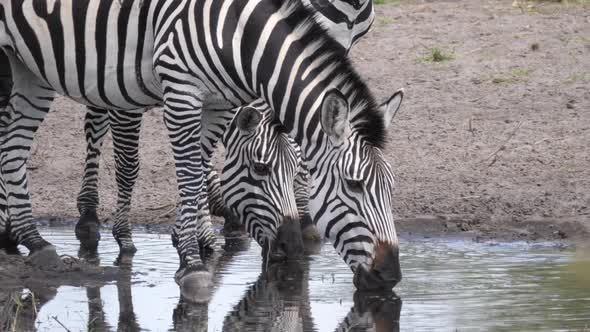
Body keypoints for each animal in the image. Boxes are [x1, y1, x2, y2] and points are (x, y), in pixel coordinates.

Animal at [0, 0, 402, 296]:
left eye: (391, 188)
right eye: (354, 185)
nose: (391, 275)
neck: (233, 35)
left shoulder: (219, 102)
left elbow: (200, 163)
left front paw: (186, 243)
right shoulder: (178, 93)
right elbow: (188, 172)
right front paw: (192, 261)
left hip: (28, 64)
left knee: (14, 141)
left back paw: (33, 241)